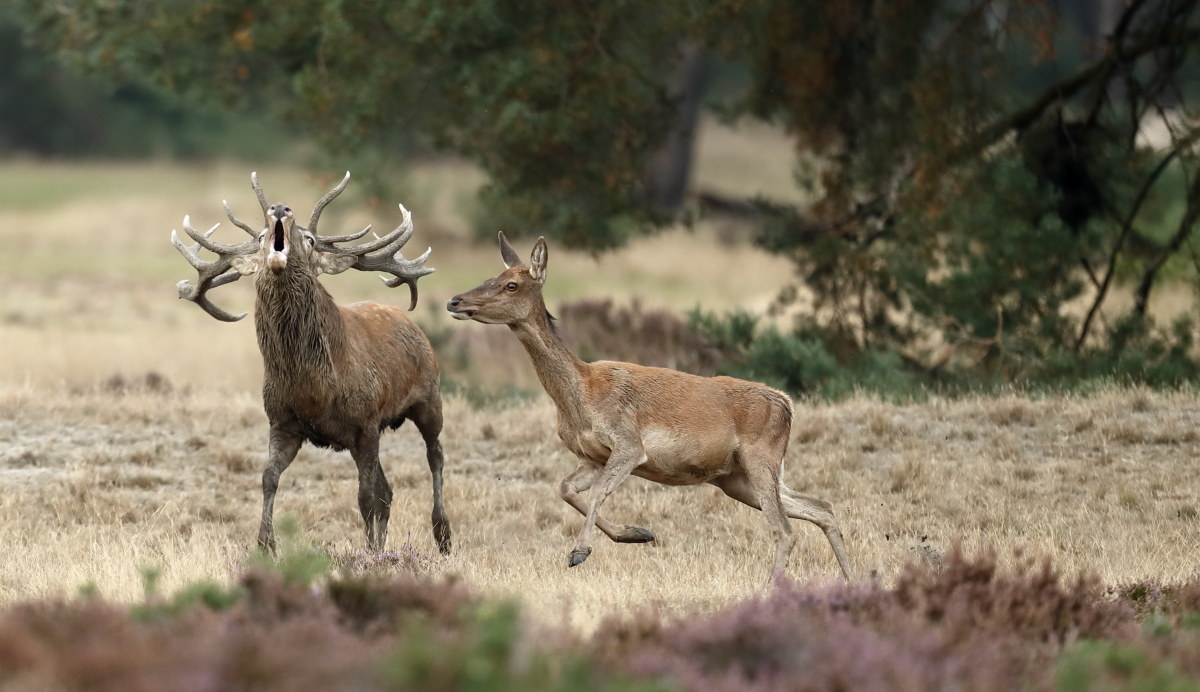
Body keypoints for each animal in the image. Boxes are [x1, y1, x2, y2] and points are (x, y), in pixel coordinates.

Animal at [172, 171, 451, 556]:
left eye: (311, 239)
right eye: (260, 238)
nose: (279, 208)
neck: (314, 389)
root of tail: (414, 326)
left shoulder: (365, 421)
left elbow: (365, 497)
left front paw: (368, 554)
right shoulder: (284, 422)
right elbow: (268, 478)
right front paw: (265, 544)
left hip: (429, 397)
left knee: (434, 455)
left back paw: (443, 534)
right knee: (388, 490)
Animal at [446, 232, 853, 580]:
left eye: (511, 285)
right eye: (491, 275)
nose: (455, 301)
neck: (580, 399)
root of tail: (787, 406)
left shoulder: (629, 444)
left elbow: (597, 491)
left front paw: (579, 552)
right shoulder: (590, 456)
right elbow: (565, 489)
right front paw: (637, 533)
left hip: (760, 458)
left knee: (785, 530)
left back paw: (773, 588)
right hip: (736, 478)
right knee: (821, 508)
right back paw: (851, 580)